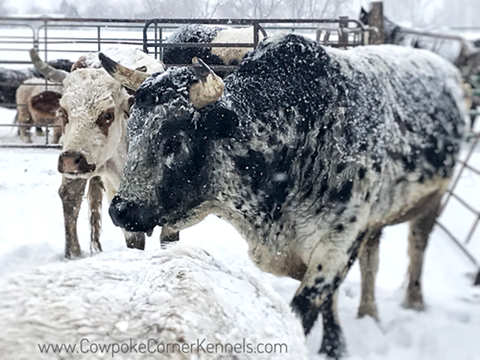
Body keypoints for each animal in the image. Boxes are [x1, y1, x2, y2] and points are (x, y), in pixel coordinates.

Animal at [101, 33, 464, 358]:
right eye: (132, 128)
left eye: (174, 140)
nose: (121, 209)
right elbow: (330, 300)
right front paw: (335, 343)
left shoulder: (338, 243)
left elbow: (308, 306)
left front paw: (332, 345)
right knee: (371, 261)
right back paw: (368, 311)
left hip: (433, 200)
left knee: (417, 246)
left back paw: (414, 301)